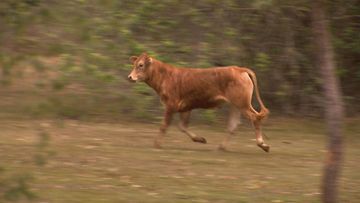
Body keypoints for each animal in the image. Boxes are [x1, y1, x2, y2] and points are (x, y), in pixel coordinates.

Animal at [127, 53, 270, 151]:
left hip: (242, 103)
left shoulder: (170, 105)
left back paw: (262, 144)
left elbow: (164, 125)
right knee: (233, 125)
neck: (165, 77)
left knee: (255, 117)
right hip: (236, 105)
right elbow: (182, 126)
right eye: (134, 64)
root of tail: (239, 69)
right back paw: (221, 147)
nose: (130, 77)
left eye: (141, 65)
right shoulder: (185, 107)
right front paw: (200, 139)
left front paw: (157, 144)